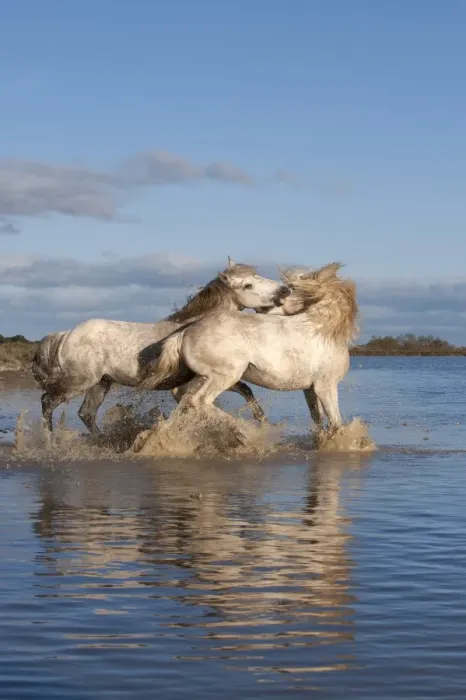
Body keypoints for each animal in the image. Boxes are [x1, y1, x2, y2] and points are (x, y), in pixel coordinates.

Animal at [32, 258, 290, 434]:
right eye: (247, 285)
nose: (284, 290)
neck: (189, 328)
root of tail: (66, 334)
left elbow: (246, 391)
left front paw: (264, 424)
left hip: (100, 384)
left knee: (86, 414)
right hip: (80, 381)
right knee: (47, 402)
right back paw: (50, 444)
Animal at [137, 262, 359, 436]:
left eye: (291, 287)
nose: (283, 291)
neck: (322, 328)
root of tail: (185, 332)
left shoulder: (310, 389)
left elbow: (317, 419)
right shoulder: (326, 386)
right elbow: (336, 422)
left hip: (203, 377)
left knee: (184, 398)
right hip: (226, 375)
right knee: (200, 401)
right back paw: (243, 429)